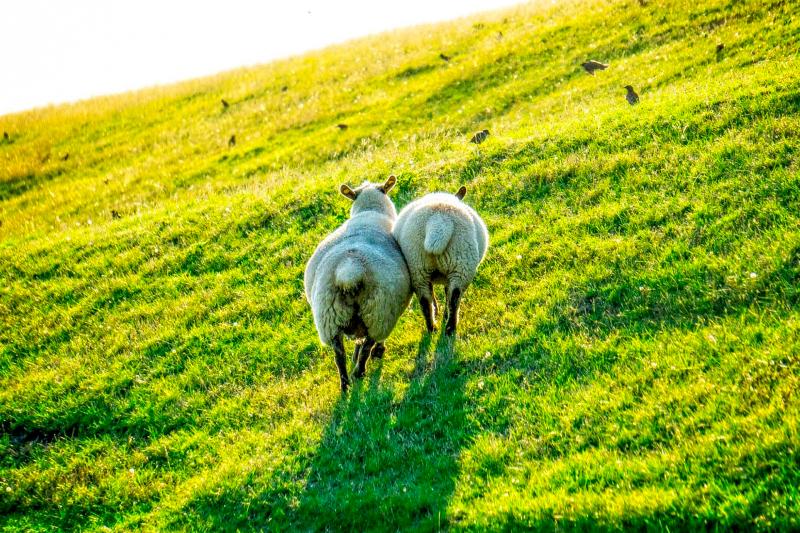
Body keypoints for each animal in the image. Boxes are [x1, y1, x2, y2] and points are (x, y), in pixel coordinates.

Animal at [304, 175, 412, 391]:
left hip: (329, 318)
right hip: (379, 313)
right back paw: (360, 371)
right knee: (368, 344)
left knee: (339, 355)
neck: (369, 211)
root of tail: (350, 269)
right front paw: (376, 351)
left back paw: (345, 384)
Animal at [392, 185, 488, 336]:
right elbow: (446, 292)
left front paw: (438, 311)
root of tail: (438, 222)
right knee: (454, 297)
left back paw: (432, 328)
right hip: (461, 265)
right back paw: (450, 327)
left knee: (425, 301)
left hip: (418, 268)